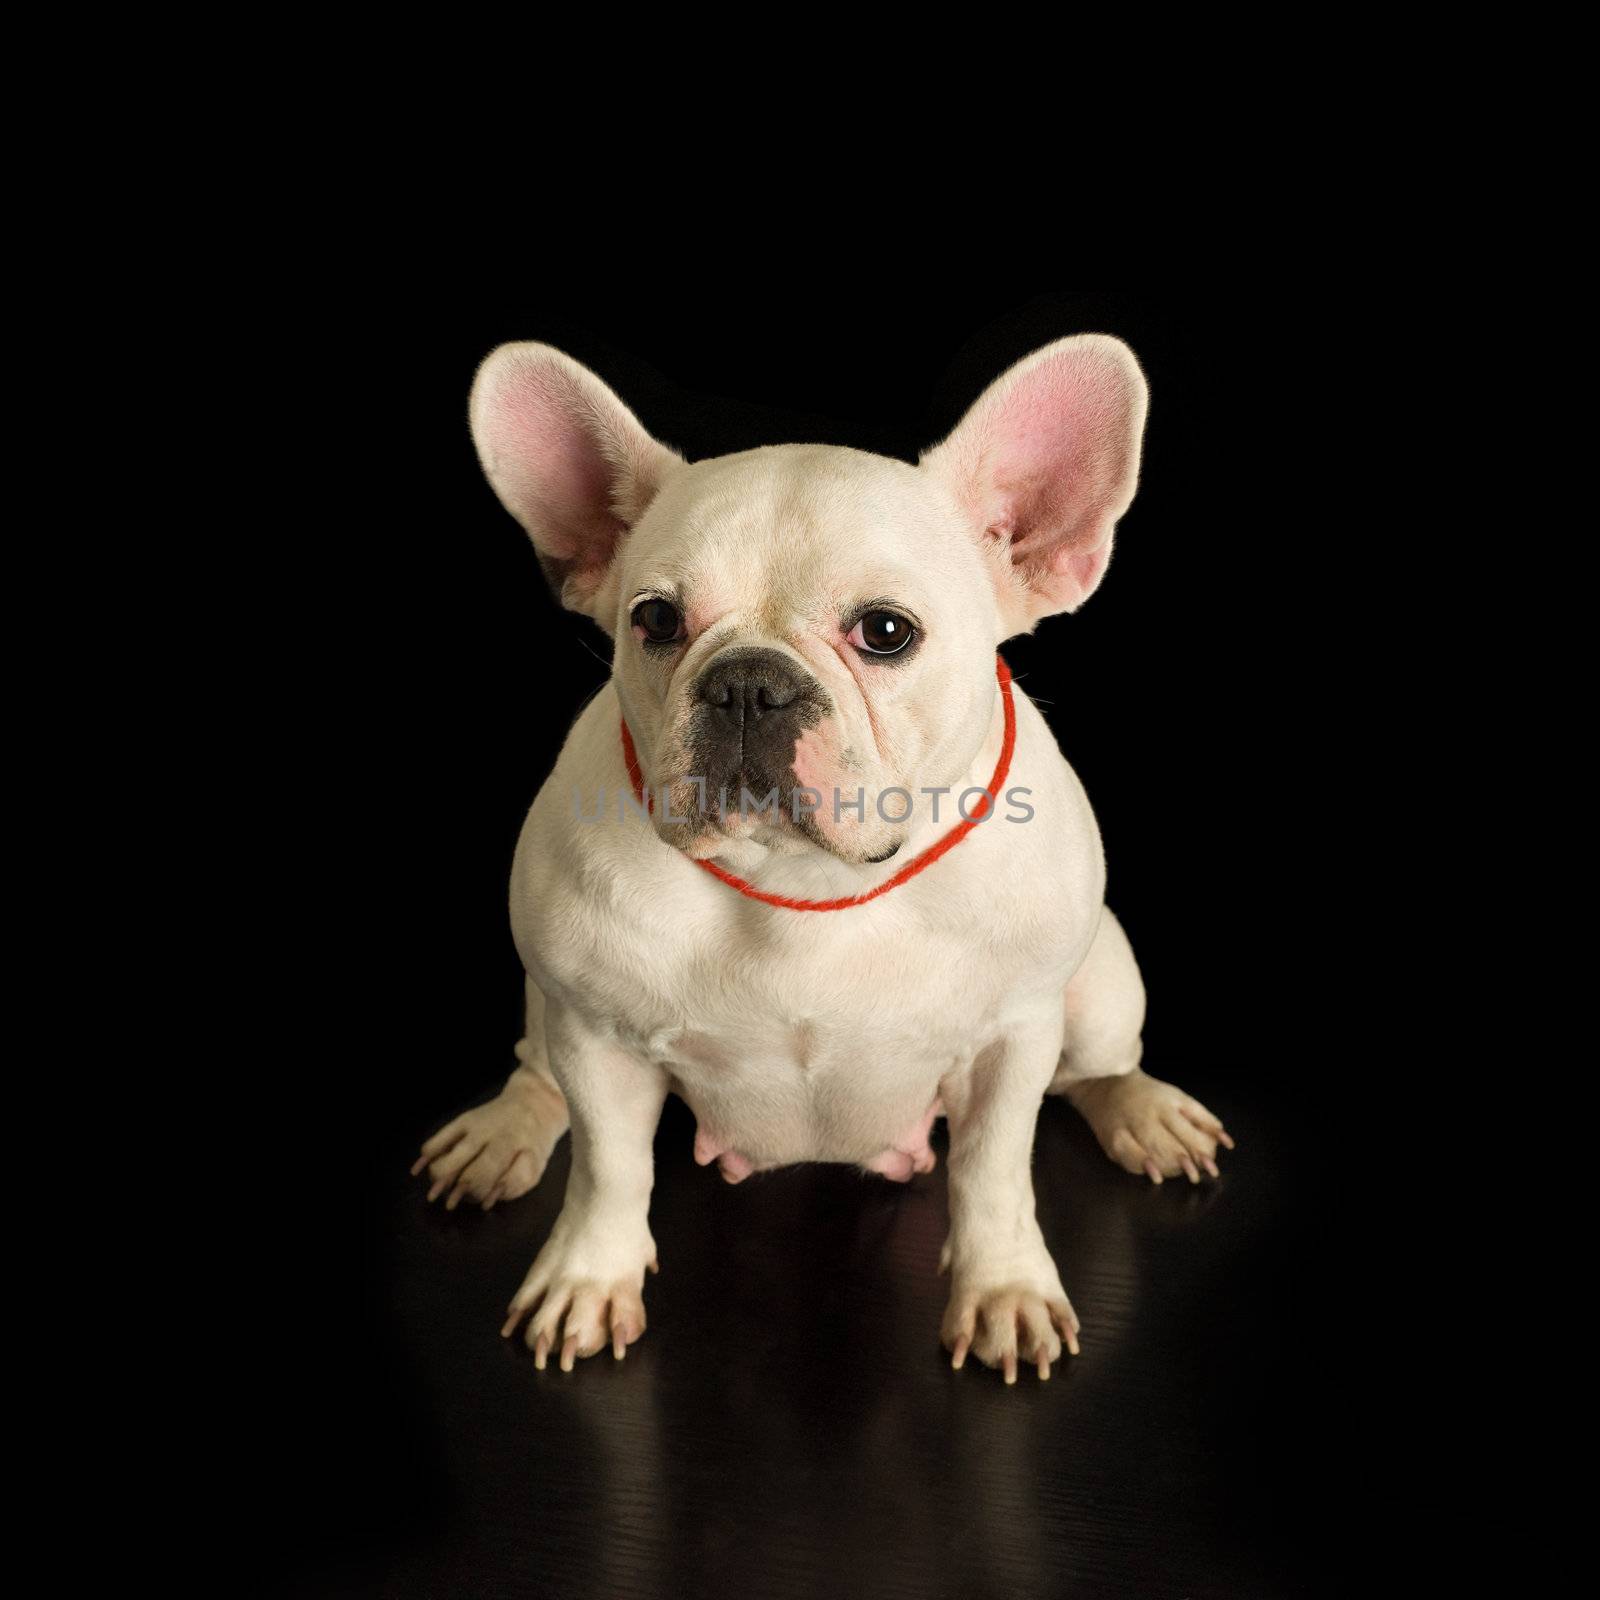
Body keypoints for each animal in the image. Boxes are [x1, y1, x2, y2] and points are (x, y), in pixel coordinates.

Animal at [412, 334, 1235, 1376]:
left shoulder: (1013, 1040)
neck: (802, 880)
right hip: (548, 1000)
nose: (748, 683)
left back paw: (1144, 1113)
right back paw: (502, 1131)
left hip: (1099, 988)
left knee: (1097, 1067)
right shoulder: (596, 1035)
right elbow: (608, 1169)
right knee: (538, 1069)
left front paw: (1003, 1288)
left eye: (886, 632)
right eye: (654, 621)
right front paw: (587, 1277)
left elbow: (993, 1172)